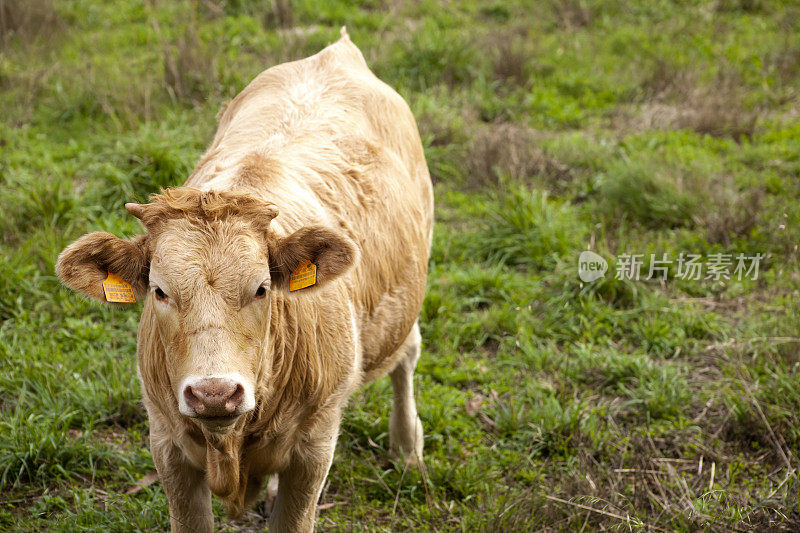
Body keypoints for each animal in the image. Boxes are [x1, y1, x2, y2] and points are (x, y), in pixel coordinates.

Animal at [55, 30, 434, 532]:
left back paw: (407, 450)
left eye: (261, 288)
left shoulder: (314, 448)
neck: (230, 448)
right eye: (159, 291)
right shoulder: (167, 445)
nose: (214, 393)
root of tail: (337, 52)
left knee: (407, 353)